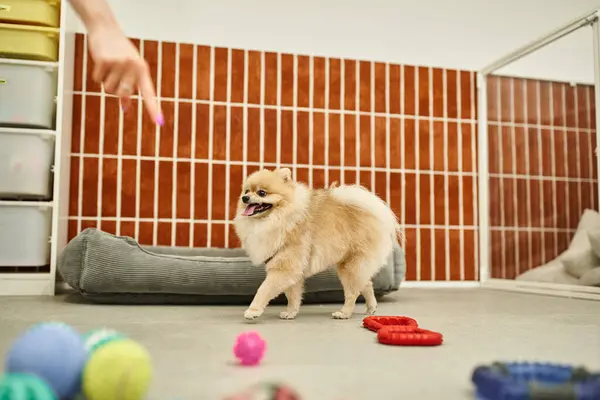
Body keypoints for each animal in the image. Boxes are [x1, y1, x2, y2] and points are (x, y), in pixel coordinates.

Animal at [234, 167, 404, 320]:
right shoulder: (293, 269)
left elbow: (264, 289)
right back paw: (371, 308)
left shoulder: (284, 267)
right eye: (246, 191)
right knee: (366, 283)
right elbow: (292, 295)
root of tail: (373, 212)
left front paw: (253, 311)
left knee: (352, 292)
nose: (245, 198)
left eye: (262, 193)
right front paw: (290, 312)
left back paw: (344, 313)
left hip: (350, 266)